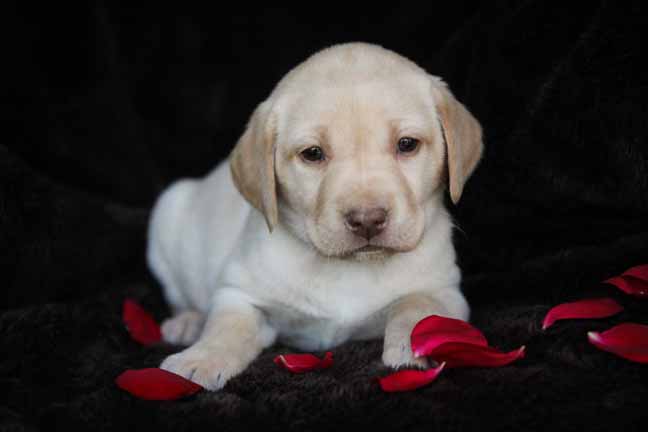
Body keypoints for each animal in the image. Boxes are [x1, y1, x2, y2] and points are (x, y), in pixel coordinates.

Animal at [147, 42, 483, 390]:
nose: (367, 219)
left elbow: (419, 306)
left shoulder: (446, 291)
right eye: (312, 153)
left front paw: (411, 344)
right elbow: (227, 326)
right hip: (167, 217)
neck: (349, 267)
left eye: (407, 144)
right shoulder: (239, 293)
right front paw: (200, 358)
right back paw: (187, 323)